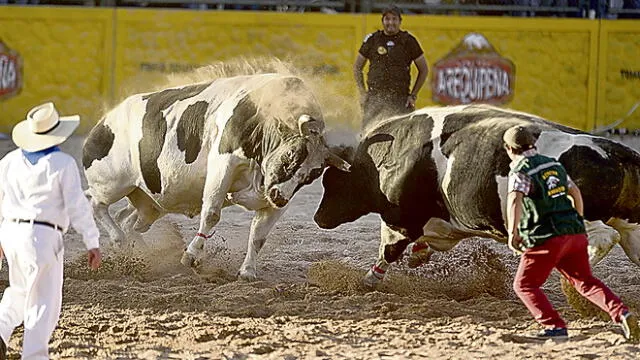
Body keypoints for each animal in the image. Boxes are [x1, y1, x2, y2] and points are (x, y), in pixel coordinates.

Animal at [82, 73, 350, 280]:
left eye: (312, 176)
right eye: (291, 155)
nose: (279, 197)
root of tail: (101, 124)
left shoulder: (275, 198)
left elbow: (259, 236)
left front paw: (247, 271)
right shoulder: (223, 165)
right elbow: (211, 214)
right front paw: (190, 256)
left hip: (148, 203)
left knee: (127, 219)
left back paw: (138, 252)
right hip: (113, 184)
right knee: (95, 204)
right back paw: (120, 241)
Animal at [314, 103, 640, 286]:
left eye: (332, 182)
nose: (319, 217)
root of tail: (612, 149)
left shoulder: (400, 219)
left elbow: (388, 250)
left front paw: (370, 279)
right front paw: (419, 255)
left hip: (571, 218)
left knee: (602, 238)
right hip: (632, 227)